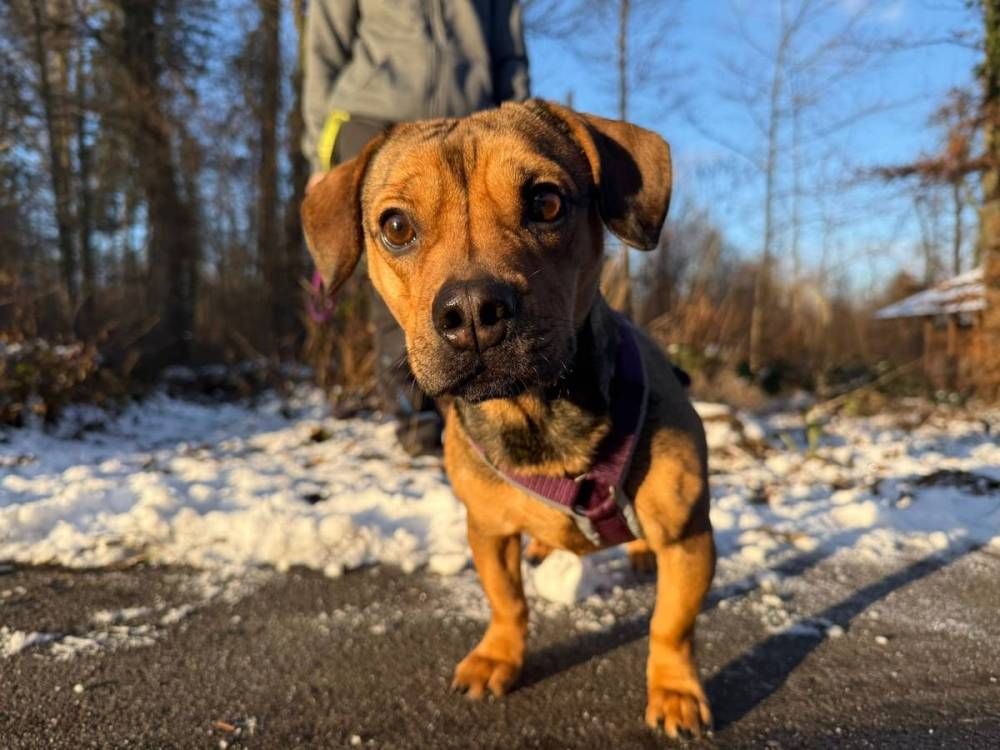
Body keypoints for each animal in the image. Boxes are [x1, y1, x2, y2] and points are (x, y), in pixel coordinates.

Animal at [302, 100, 715, 738]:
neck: (535, 416)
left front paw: (673, 691)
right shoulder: (488, 530)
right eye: (395, 227)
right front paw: (498, 658)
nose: (473, 310)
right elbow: (507, 602)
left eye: (546, 202)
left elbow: (671, 625)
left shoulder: (690, 537)